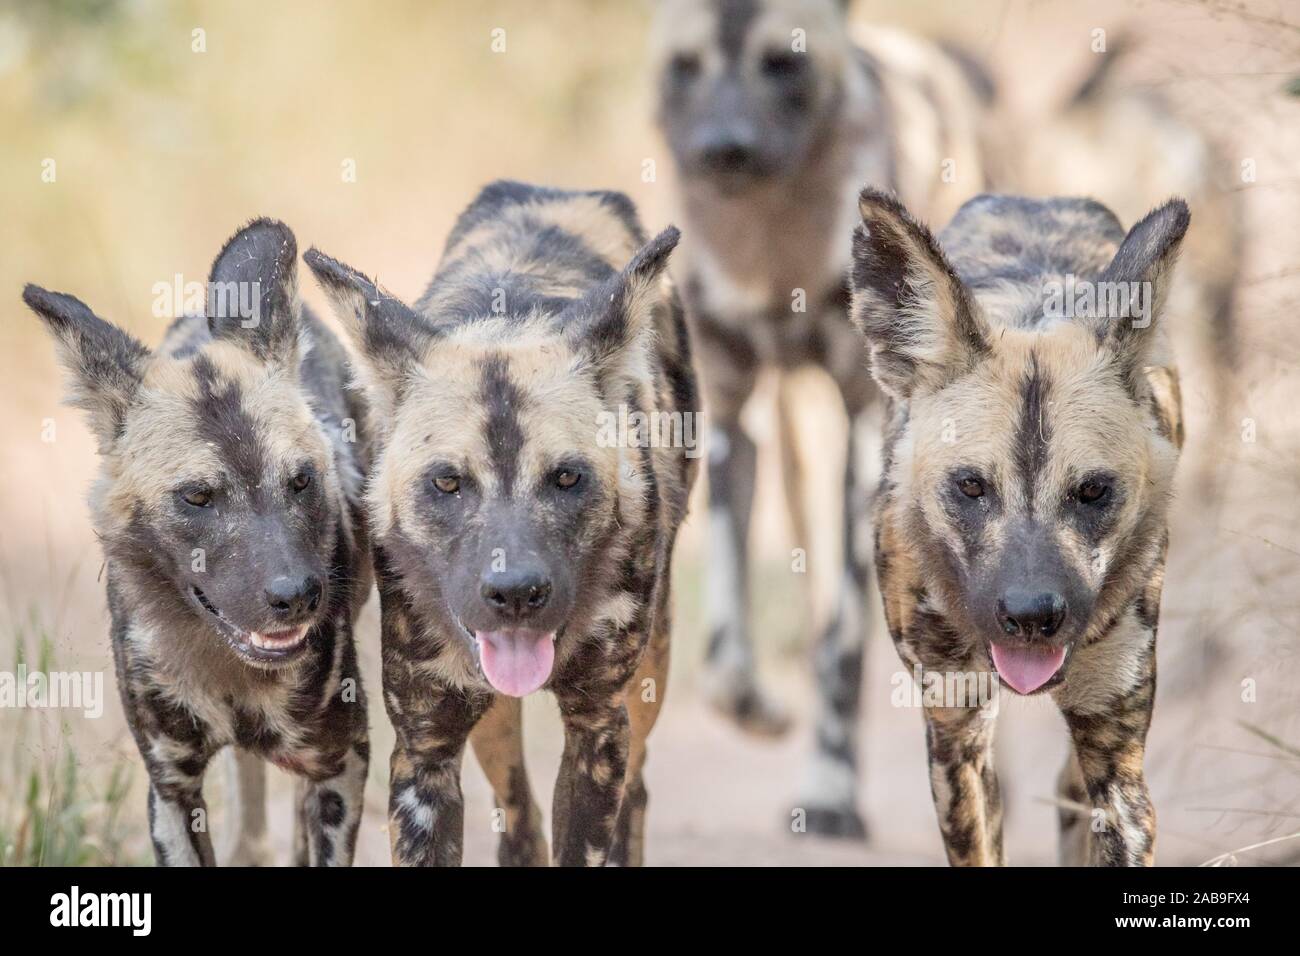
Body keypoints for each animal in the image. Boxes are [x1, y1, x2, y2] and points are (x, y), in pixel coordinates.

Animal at [650, 0, 993, 837]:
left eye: (784, 63)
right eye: (686, 66)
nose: (725, 148)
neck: (770, 256)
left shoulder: (867, 429)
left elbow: (843, 640)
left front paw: (833, 792)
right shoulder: (728, 421)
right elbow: (725, 646)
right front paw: (756, 707)